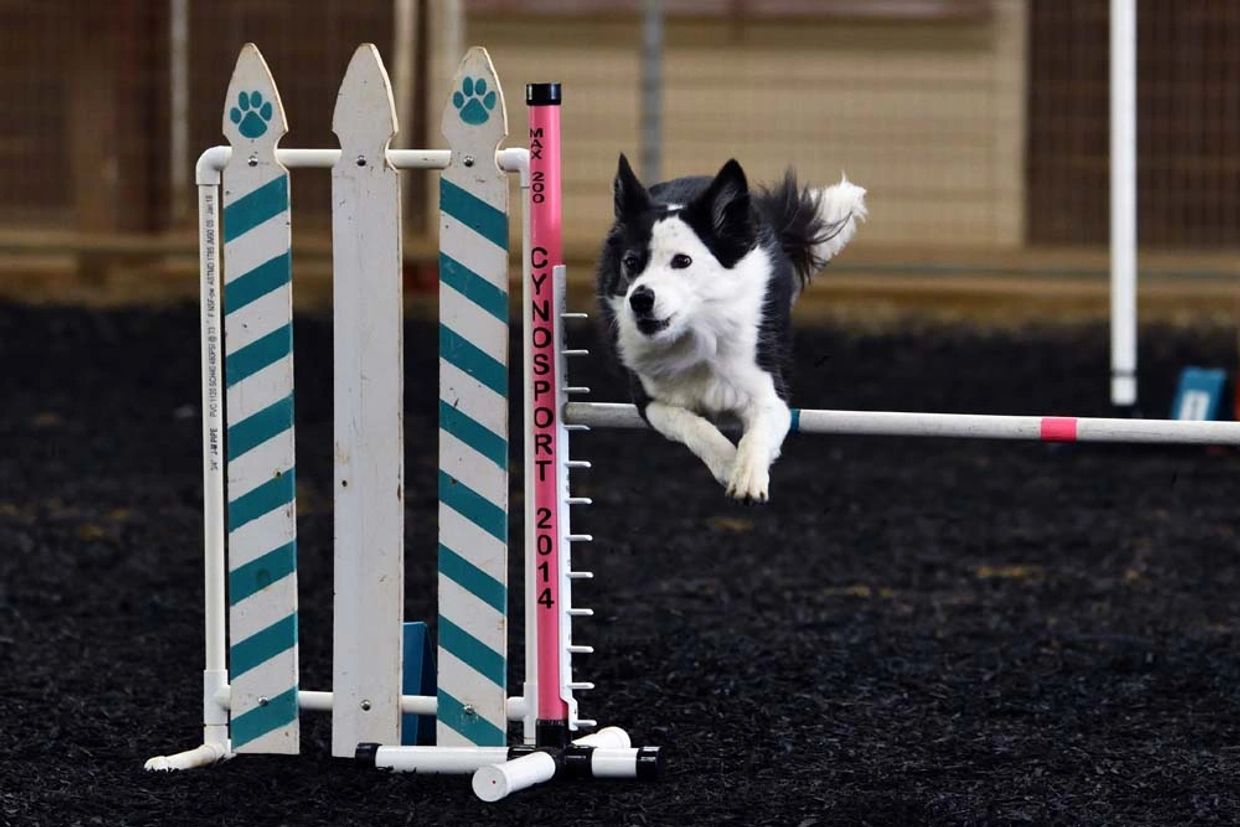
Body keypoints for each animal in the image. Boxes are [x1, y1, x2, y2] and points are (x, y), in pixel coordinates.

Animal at [595, 156, 868, 505]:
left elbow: (757, 433)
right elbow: (693, 425)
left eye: (682, 261)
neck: (695, 334)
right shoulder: (650, 400)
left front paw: (748, 477)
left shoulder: (769, 392)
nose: (640, 299)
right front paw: (728, 463)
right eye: (631, 262)